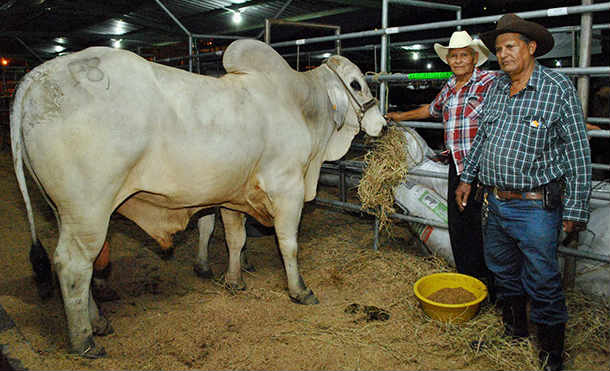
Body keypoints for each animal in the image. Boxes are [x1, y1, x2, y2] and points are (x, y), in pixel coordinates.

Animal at [10, 39, 384, 358]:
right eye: (355, 84)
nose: (382, 122)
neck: (300, 106)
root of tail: (38, 76)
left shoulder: (233, 197)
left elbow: (235, 239)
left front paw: (234, 280)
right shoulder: (286, 188)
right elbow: (288, 244)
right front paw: (300, 290)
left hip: (67, 213)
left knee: (80, 266)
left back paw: (98, 322)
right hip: (89, 210)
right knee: (73, 266)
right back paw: (85, 340)